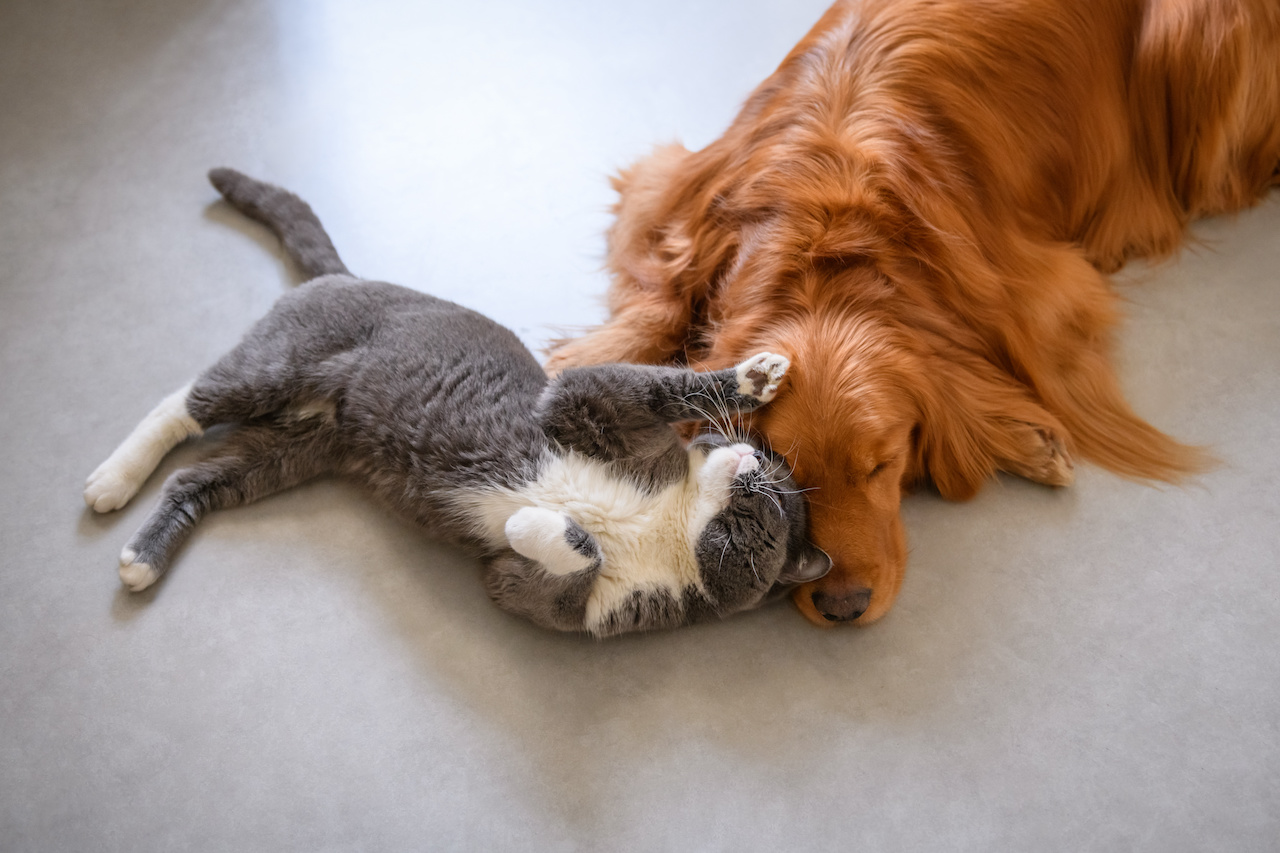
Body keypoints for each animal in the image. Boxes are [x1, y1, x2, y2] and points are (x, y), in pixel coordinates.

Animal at [85, 167, 834, 630]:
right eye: (770, 470)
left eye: (771, 502)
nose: (751, 460)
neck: (672, 519)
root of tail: (345, 275)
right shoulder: (586, 403)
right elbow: (654, 384)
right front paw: (758, 375)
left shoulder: (549, 599)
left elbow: (566, 562)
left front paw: (539, 524)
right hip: (283, 363)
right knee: (188, 399)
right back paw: (110, 480)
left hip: (291, 452)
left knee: (197, 480)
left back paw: (140, 558)